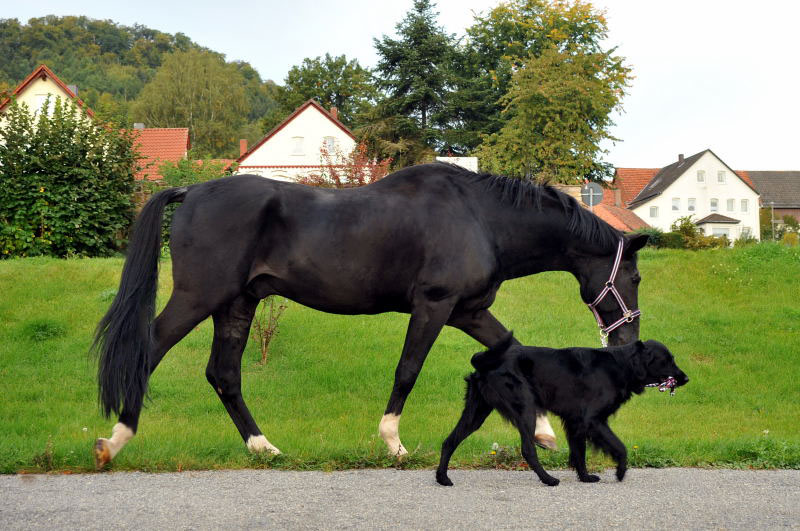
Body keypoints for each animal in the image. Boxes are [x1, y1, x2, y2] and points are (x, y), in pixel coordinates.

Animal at [94, 164, 648, 468]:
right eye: (636, 278)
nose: (627, 346)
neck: (481, 217)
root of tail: (191, 191)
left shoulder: (468, 311)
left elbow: (511, 350)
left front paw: (544, 432)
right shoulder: (434, 305)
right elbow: (408, 370)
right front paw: (394, 444)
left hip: (237, 304)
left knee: (224, 375)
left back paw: (263, 447)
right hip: (199, 297)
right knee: (149, 352)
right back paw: (113, 442)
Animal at [438, 334, 688, 488]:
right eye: (667, 360)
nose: (686, 378)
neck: (621, 364)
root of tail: (484, 360)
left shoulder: (576, 421)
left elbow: (579, 453)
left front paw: (585, 477)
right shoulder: (593, 420)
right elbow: (619, 446)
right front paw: (620, 472)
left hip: (476, 412)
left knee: (449, 441)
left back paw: (442, 478)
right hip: (526, 407)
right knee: (528, 449)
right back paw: (548, 480)